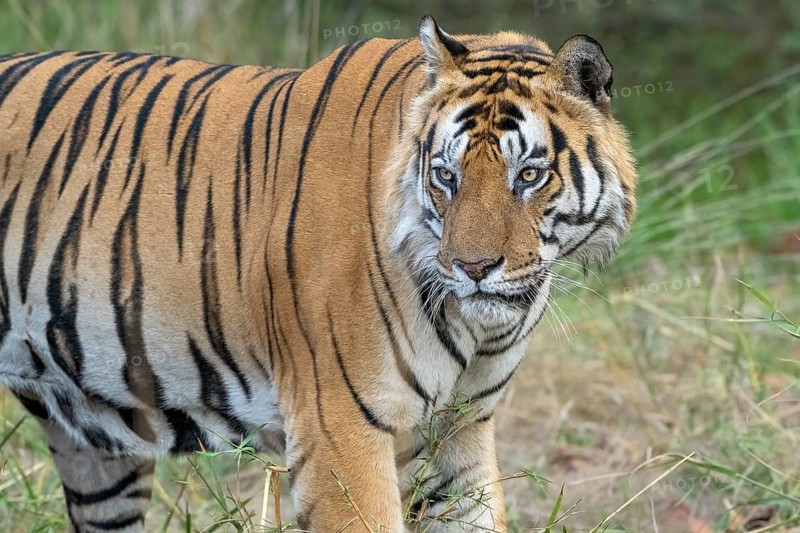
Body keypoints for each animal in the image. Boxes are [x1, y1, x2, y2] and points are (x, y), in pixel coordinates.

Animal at [0, 14, 636, 533]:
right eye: (446, 176)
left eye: (528, 175)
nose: (472, 268)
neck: (477, 329)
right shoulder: (340, 430)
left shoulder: (461, 433)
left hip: (97, 446)